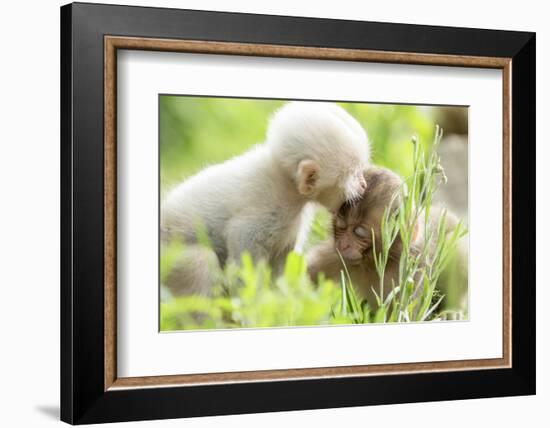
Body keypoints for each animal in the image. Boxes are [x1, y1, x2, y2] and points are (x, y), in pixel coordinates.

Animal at [163, 103, 370, 296]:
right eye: (354, 175)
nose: (363, 185)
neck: (287, 185)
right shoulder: (262, 215)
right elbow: (243, 254)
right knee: (198, 262)